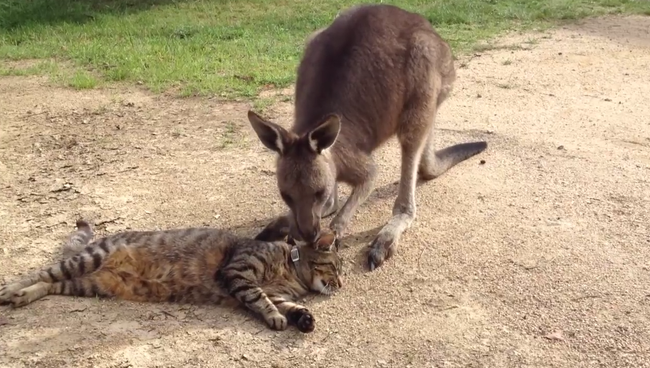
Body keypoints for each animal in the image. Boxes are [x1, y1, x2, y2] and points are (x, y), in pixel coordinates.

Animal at [0, 221, 342, 334]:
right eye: (337, 268)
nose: (341, 284)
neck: (291, 271)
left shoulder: (278, 294)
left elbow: (294, 307)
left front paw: (304, 320)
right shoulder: (239, 272)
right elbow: (259, 299)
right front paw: (275, 318)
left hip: (89, 284)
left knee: (50, 284)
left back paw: (22, 297)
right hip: (86, 261)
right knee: (41, 272)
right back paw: (10, 290)